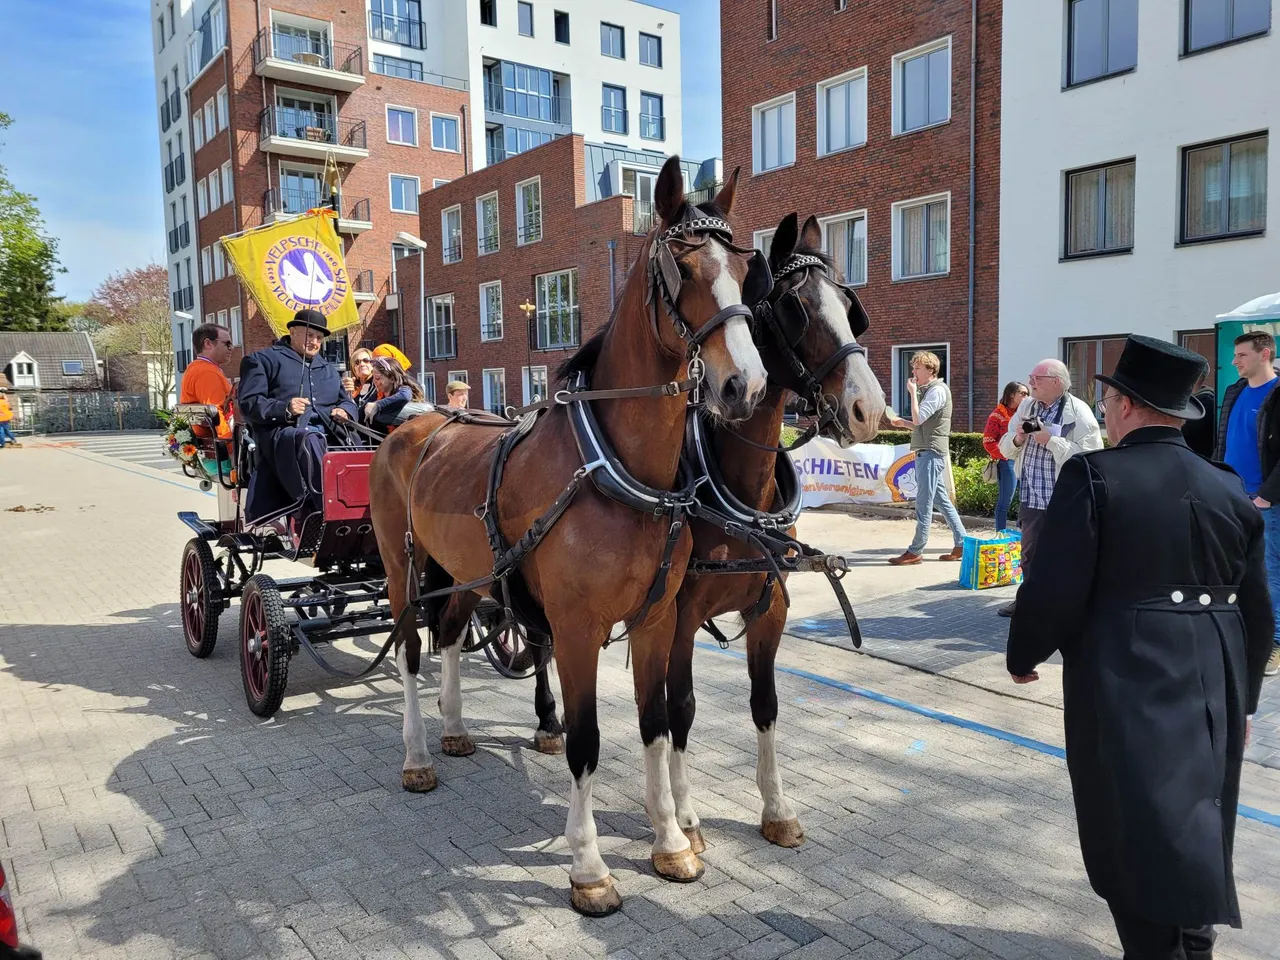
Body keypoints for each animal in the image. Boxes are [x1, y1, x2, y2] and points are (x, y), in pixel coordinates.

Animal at [371, 156, 768, 916]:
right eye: (682, 267)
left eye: (744, 267)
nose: (745, 386)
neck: (615, 466)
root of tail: (417, 421)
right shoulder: (579, 627)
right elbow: (585, 740)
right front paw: (589, 867)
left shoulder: (656, 619)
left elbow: (655, 725)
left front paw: (670, 841)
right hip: (402, 565)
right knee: (409, 651)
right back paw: (416, 756)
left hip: (463, 572)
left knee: (451, 636)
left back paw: (456, 729)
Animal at [665, 209, 885, 849]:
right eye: (795, 307)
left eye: (850, 306)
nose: (869, 409)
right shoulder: (677, 615)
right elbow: (679, 706)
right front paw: (684, 818)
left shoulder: (770, 610)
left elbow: (765, 702)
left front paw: (777, 808)